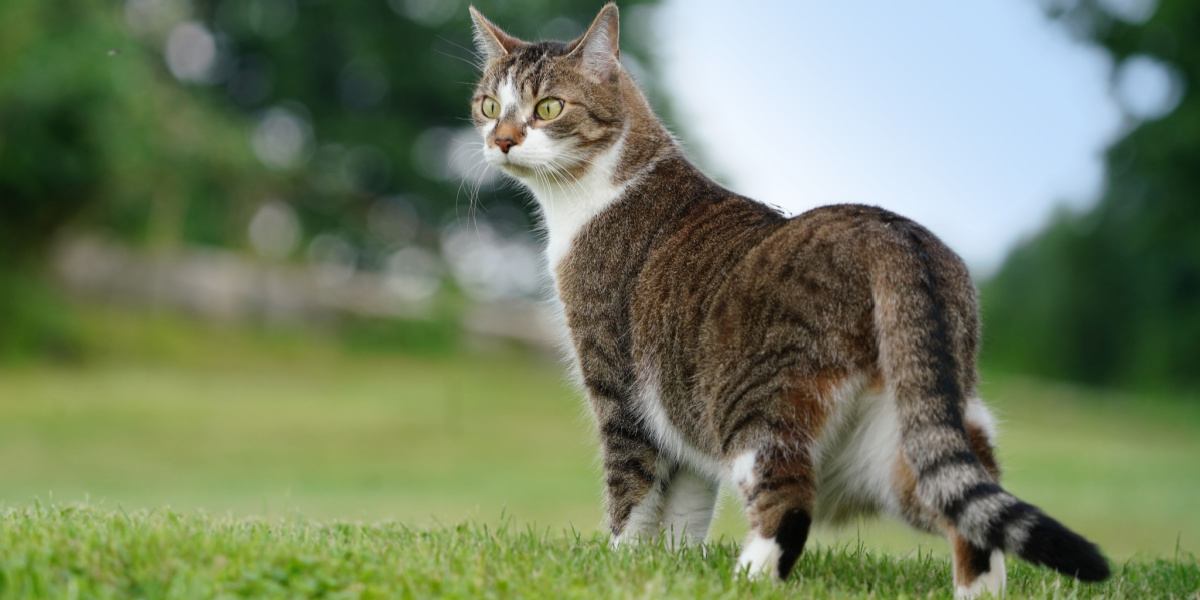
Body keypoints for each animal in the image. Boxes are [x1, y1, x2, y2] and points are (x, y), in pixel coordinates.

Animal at [465, 3, 1104, 595]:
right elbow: (685, 505)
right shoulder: (679, 409)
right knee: (971, 507)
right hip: (913, 423)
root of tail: (895, 234)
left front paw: (621, 568)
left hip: (760, 407)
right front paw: (671, 569)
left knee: (791, 504)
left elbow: (631, 492)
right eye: (489, 106)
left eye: (549, 108)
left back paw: (744, 579)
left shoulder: (620, 390)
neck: (601, 187)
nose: (502, 140)